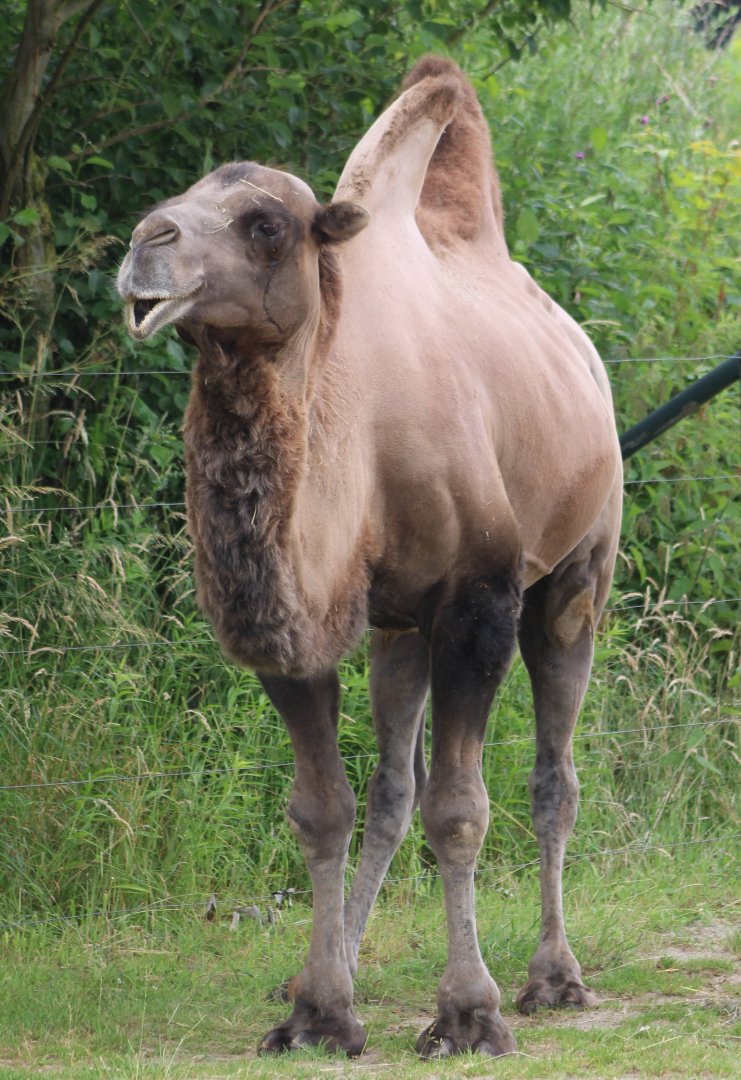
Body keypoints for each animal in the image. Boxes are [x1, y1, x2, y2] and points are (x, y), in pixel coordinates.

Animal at [117, 56, 622, 1059]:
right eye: (182, 196)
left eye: (265, 223)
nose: (144, 242)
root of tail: (579, 350)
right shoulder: (296, 621)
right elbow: (325, 809)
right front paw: (318, 1009)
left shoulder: (477, 601)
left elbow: (460, 809)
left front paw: (468, 1012)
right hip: (398, 632)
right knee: (392, 787)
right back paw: (339, 963)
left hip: (575, 573)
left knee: (552, 775)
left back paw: (552, 977)